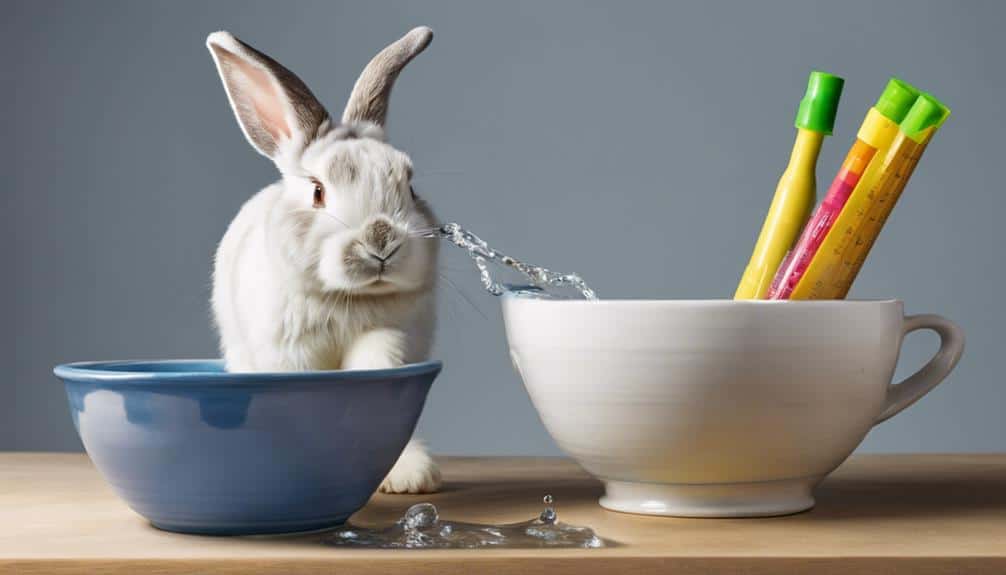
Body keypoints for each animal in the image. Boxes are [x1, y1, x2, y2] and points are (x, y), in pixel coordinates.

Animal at [206, 27, 441, 494]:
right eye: (317, 192)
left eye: (410, 186)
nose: (380, 240)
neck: (348, 298)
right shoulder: (288, 353)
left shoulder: (390, 337)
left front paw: (406, 476)